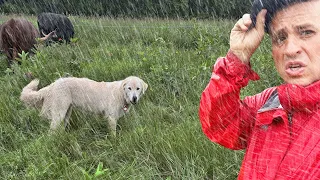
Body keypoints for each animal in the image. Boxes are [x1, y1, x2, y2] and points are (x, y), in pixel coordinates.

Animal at [20, 76, 148, 135]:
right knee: (51, 132)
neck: (120, 93)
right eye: (129, 88)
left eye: (138, 88)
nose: (134, 98)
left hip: (66, 114)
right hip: (59, 114)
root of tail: (53, 85)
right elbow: (113, 134)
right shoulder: (111, 118)